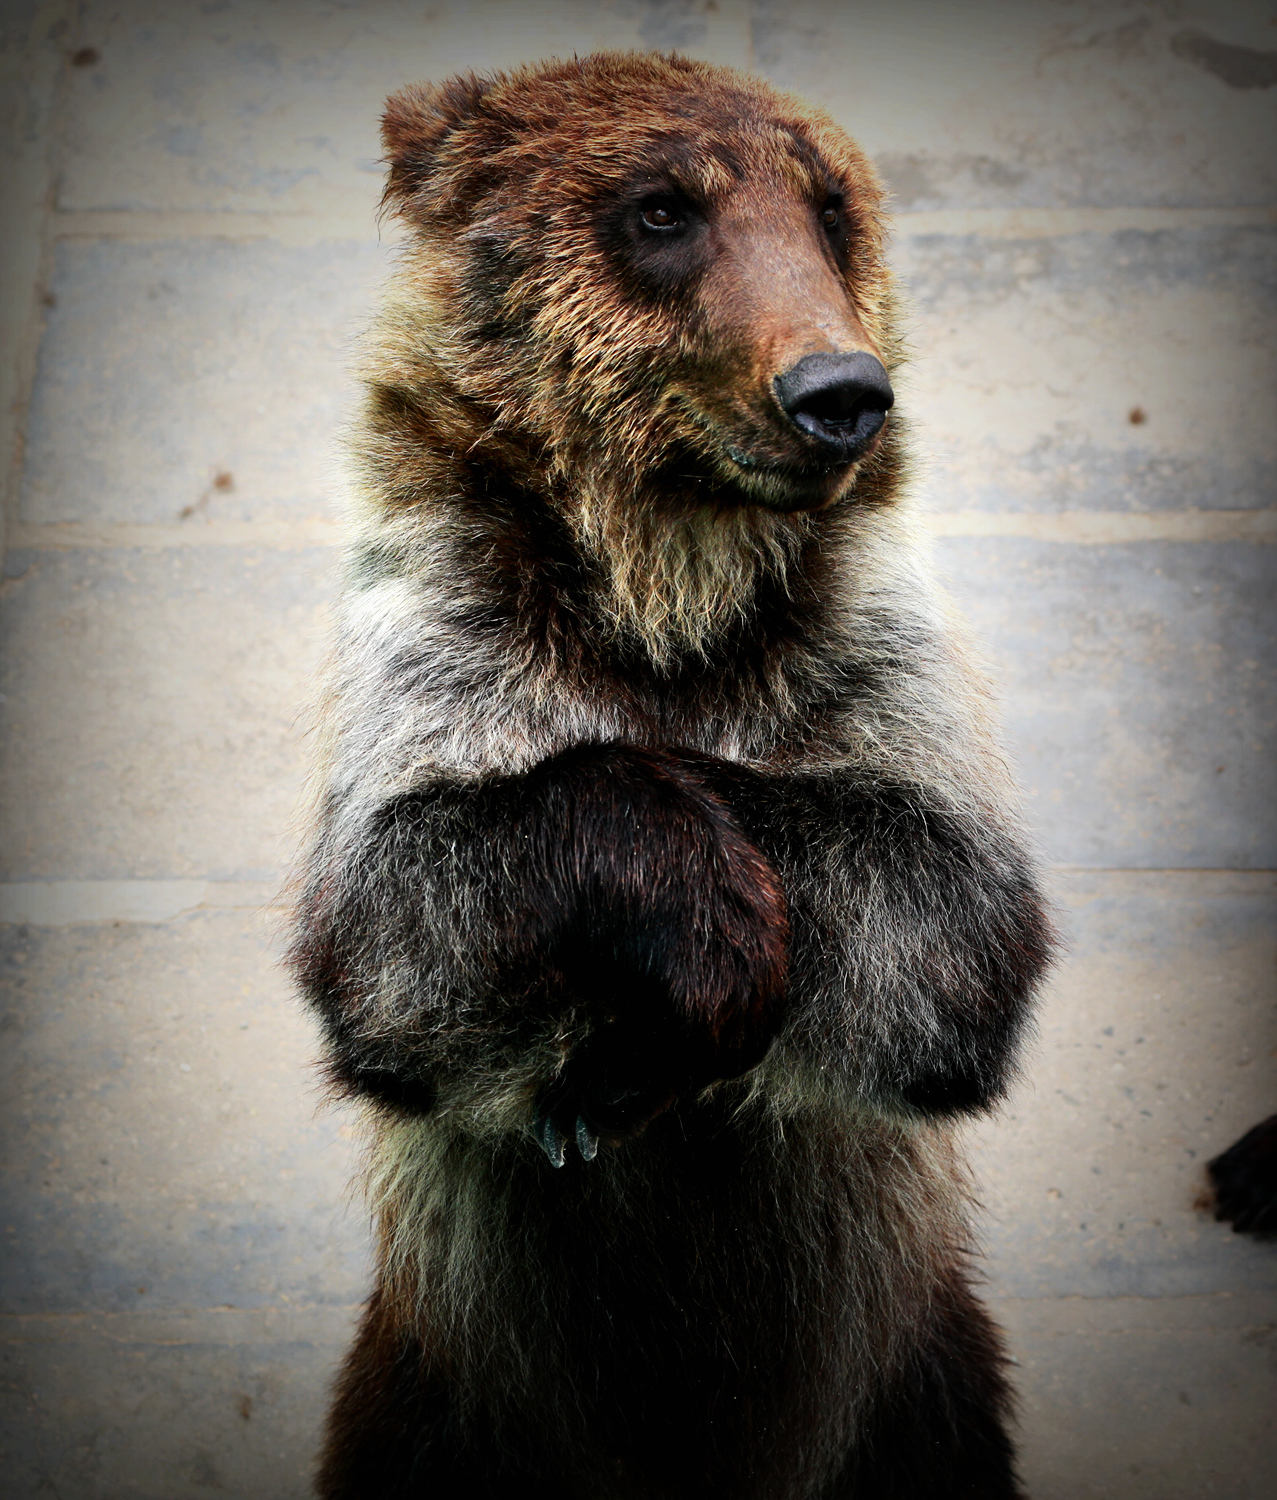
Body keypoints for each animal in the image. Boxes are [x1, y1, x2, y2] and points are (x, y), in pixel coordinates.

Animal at [292, 46, 1056, 1500]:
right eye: (661, 208)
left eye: (829, 207)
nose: (836, 392)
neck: (666, 590)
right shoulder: (446, 623)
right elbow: (398, 925)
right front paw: (647, 1010)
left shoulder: (868, 649)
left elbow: (944, 915)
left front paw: (640, 1053)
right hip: (438, 1407)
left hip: (915, 1395)